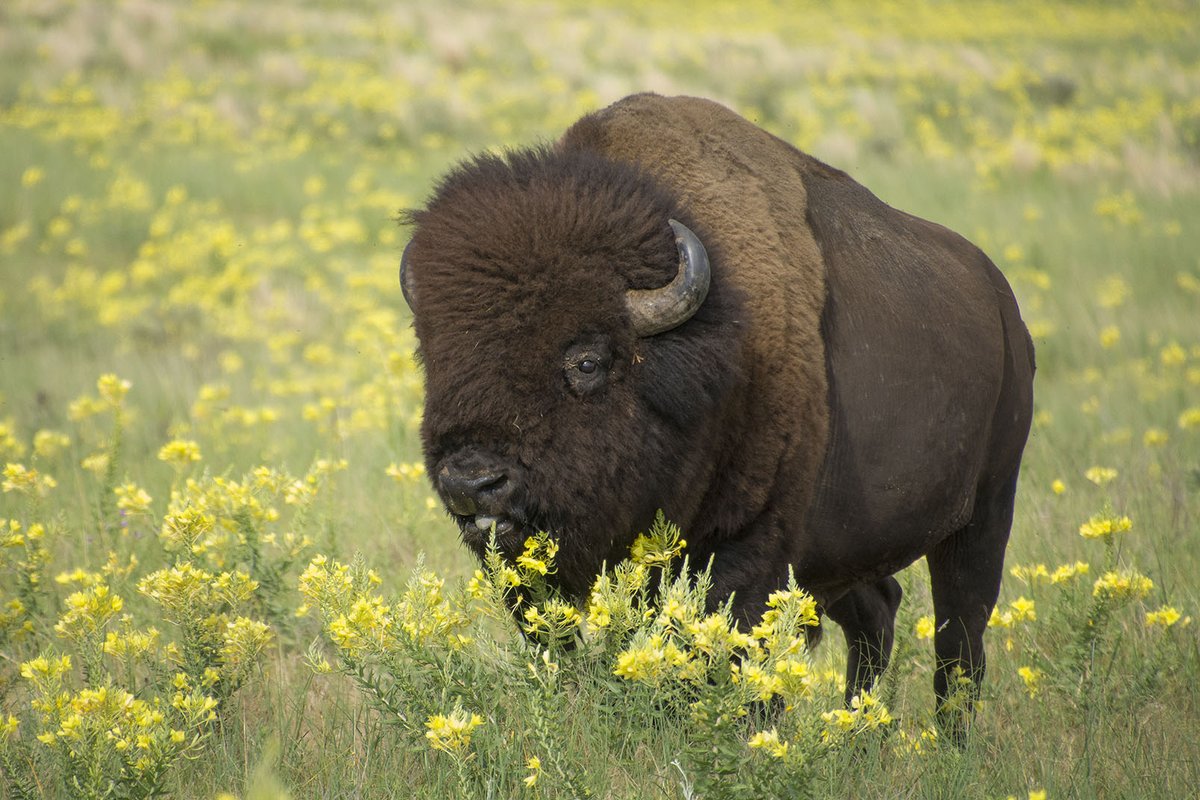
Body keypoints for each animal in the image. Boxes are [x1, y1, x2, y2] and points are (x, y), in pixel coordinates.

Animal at [399, 93, 1035, 736]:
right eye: (434, 356)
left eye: (586, 362)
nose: (471, 483)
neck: (712, 341)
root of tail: (1005, 307)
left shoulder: (750, 547)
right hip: (840, 554)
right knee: (878, 612)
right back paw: (859, 737)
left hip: (984, 513)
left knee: (960, 640)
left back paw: (947, 742)